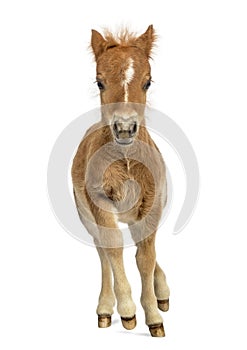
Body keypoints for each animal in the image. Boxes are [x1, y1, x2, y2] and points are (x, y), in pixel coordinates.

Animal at [71, 24, 170, 336]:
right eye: (99, 82)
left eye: (148, 82)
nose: (125, 128)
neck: (126, 162)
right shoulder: (99, 203)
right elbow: (114, 248)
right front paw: (128, 312)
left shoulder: (152, 203)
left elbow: (146, 256)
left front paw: (154, 316)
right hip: (85, 214)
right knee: (103, 251)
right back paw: (105, 309)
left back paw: (162, 292)